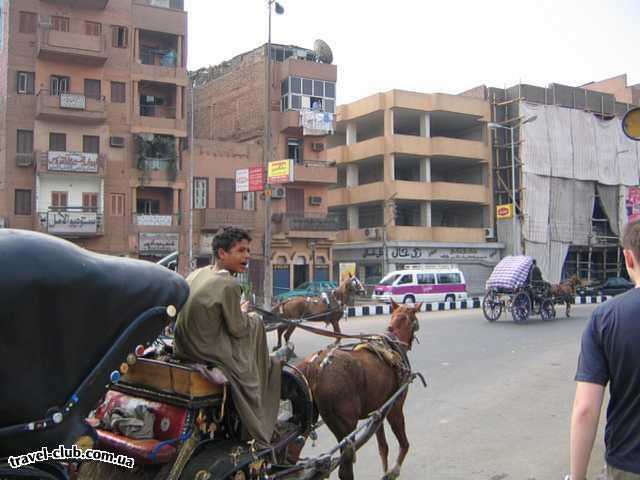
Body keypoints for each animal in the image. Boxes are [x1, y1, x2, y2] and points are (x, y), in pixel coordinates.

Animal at [296, 300, 420, 480]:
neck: (393, 343)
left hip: (306, 419)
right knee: (345, 467)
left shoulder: (378, 411)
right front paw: (393, 471)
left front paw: (385, 471)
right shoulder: (395, 407)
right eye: (415, 321)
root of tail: (315, 366)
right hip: (346, 426)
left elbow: (383, 447)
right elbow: (404, 444)